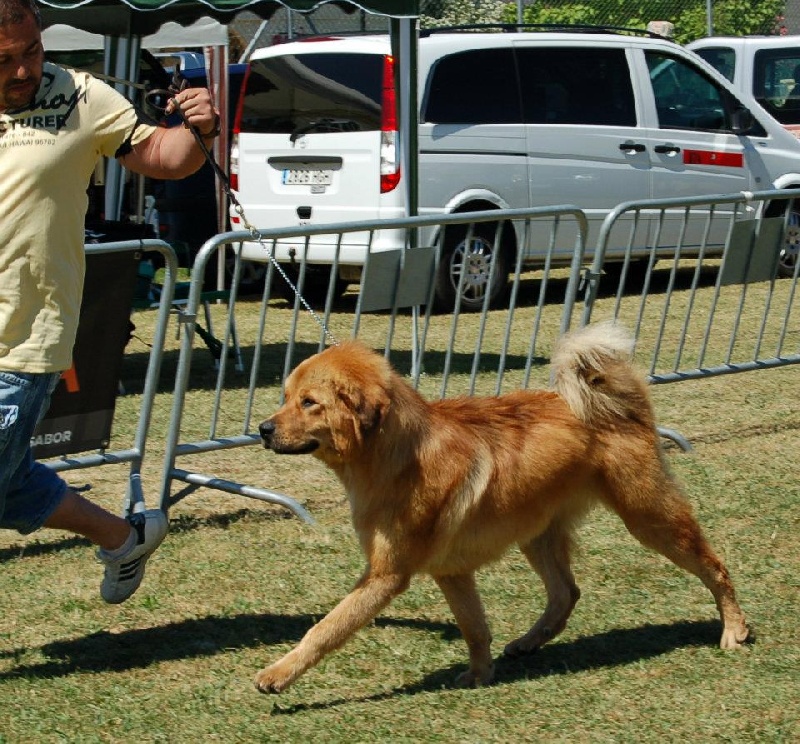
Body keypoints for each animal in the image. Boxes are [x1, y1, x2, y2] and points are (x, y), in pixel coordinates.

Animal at [256, 322, 752, 696]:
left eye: (309, 402)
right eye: (284, 397)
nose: (262, 429)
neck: (397, 456)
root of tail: (621, 407)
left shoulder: (385, 576)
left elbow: (325, 629)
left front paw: (277, 674)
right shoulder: (451, 572)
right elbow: (475, 628)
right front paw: (480, 675)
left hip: (650, 520)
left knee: (715, 567)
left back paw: (735, 629)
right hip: (537, 534)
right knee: (566, 593)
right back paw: (529, 643)